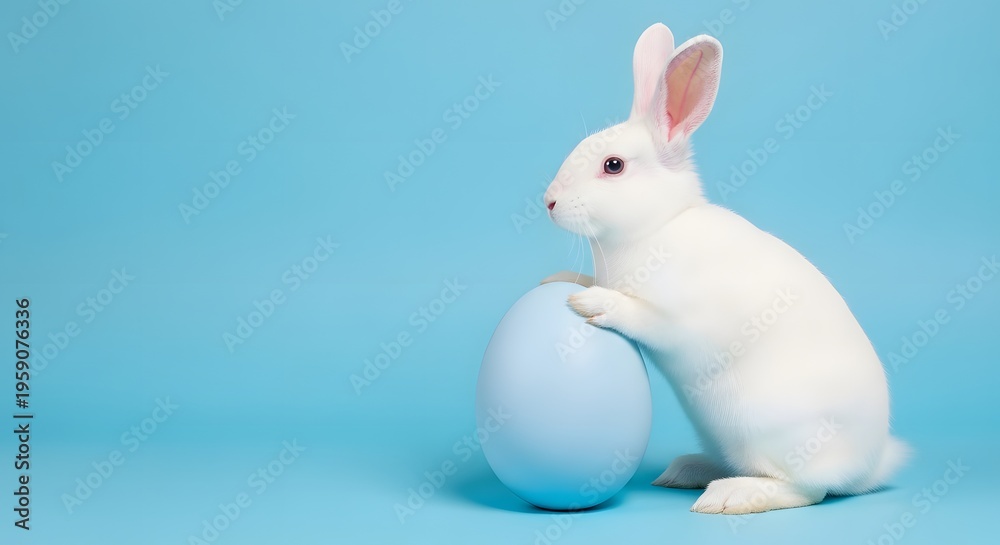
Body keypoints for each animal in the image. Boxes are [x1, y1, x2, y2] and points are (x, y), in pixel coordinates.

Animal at [540, 23, 908, 514]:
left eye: (612, 166)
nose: (549, 201)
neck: (657, 226)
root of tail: (869, 468)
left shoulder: (677, 319)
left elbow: (639, 315)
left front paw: (594, 302)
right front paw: (560, 280)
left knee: (806, 489)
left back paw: (728, 496)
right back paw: (686, 471)